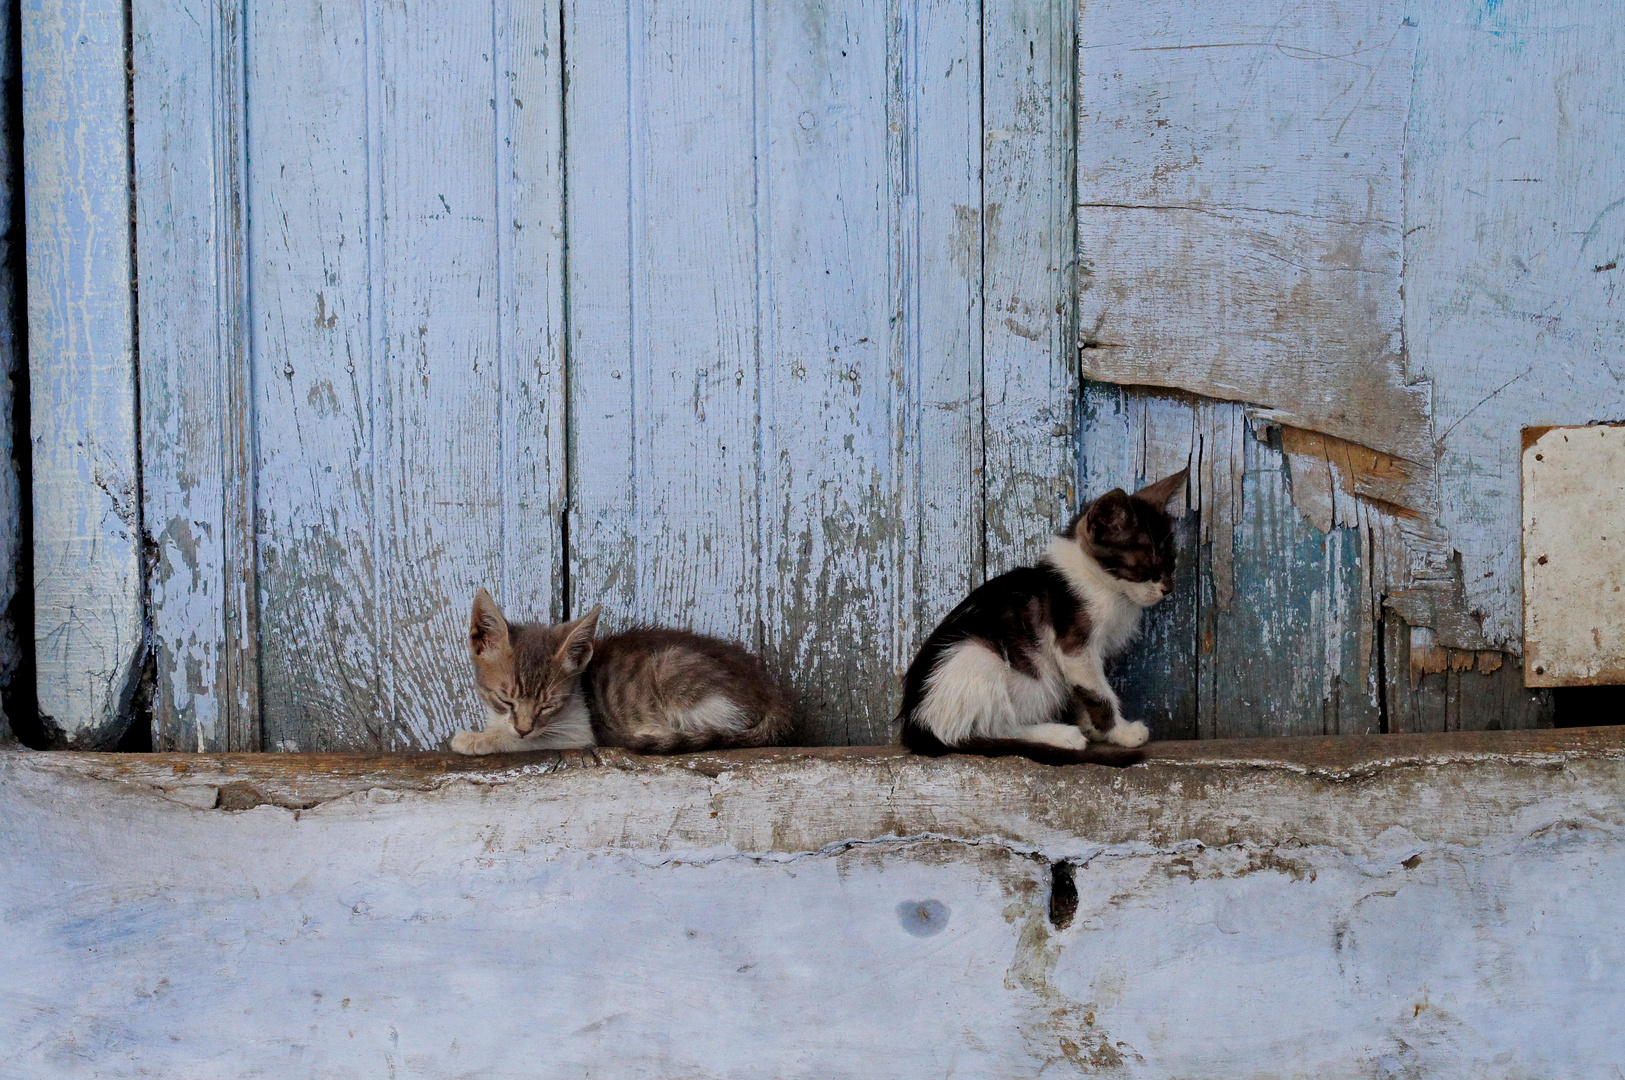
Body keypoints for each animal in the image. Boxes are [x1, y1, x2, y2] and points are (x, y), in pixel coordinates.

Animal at [451, 584, 793, 753]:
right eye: (504, 699)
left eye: (549, 705)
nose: (523, 728)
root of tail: (773, 693)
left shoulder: (580, 730)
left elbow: (532, 740)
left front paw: (476, 740)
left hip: (672, 668)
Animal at [897, 467, 1189, 763]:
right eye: (1148, 568)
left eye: (1172, 562)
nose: (1168, 589)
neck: (1096, 581)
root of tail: (916, 724)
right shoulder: (1074, 645)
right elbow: (1098, 692)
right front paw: (1121, 732)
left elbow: (1082, 688)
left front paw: (1093, 726)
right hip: (979, 656)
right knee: (994, 728)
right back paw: (1060, 735)